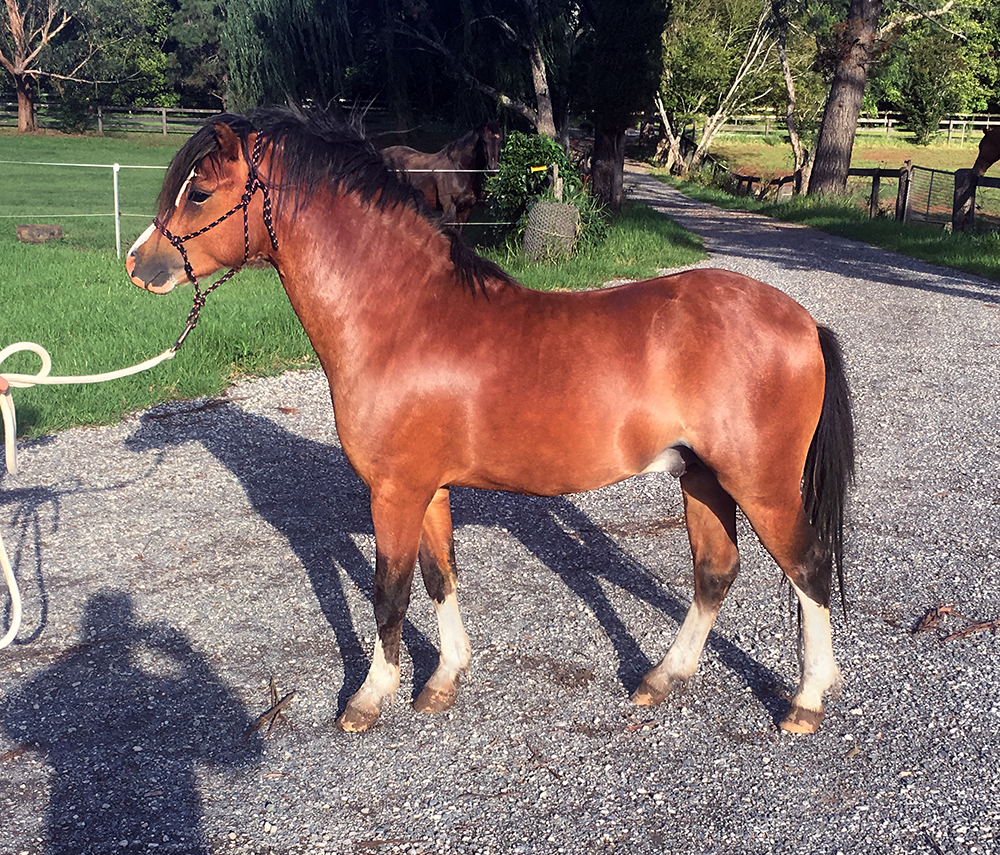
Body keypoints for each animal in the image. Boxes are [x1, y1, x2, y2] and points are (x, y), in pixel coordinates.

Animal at [126, 108, 855, 735]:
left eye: (199, 193)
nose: (137, 263)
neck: (405, 319)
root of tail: (803, 323)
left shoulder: (393, 492)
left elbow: (388, 592)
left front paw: (369, 697)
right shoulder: (429, 491)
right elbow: (438, 577)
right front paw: (443, 679)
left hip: (760, 484)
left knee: (808, 567)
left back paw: (807, 701)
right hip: (702, 478)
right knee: (715, 571)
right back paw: (661, 678)